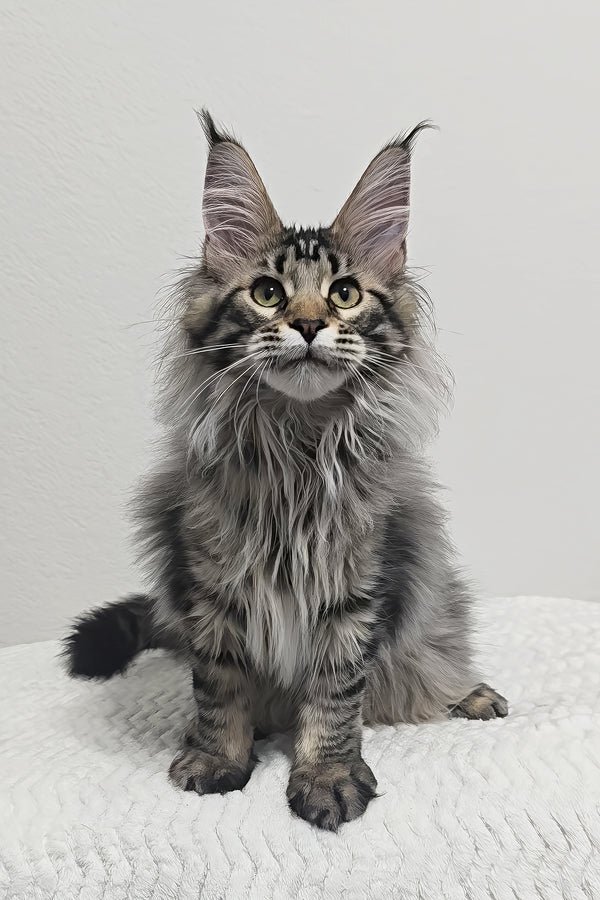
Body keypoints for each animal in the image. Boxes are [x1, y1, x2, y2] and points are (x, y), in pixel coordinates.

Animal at [64, 111, 508, 831]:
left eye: (345, 294)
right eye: (268, 293)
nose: (306, 325)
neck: (296, 446)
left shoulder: (353, 587)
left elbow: (334, 697)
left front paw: (327, 776)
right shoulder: (213, 584)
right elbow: (219, 690)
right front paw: (218, 759)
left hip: (430, 614)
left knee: (425, 668)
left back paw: (467, 694)